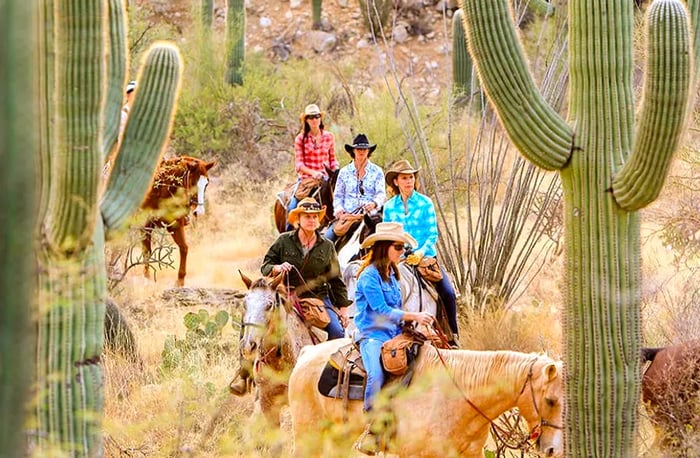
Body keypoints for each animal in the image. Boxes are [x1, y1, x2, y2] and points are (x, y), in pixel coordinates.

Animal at [137, 157, 212, 286]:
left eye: (206, 184)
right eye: (193, 183)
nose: (199, 212)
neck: (161, 189)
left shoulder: (175, 226)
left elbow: (184, 248)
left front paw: (180, 280)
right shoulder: (145, 225)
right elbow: (146, 251)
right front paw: (146, 278)